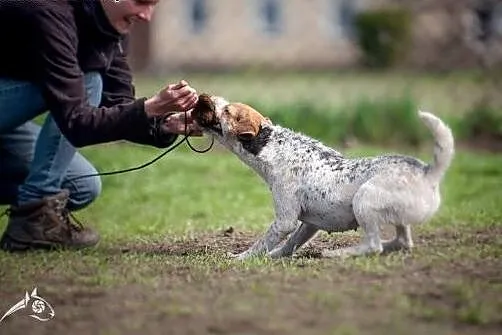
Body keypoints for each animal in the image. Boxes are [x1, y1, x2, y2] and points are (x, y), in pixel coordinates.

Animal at [192, 94, 454, 260]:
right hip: (396, 218)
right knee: (401, 242)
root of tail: (428, 173)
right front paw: (275, 256)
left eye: (227, 110)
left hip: (364, 201)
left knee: (373, 246)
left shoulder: (285, 220)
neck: (270, 144)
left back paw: (337, 254)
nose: (206, 97)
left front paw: (242, 257)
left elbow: (262, 243)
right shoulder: (309, 224)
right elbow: (290, 244)